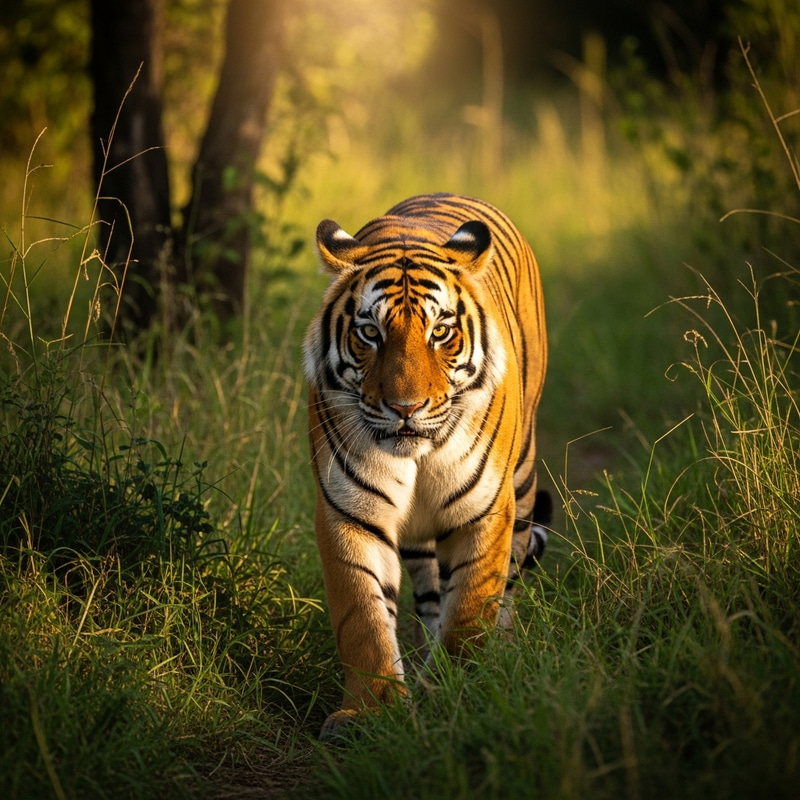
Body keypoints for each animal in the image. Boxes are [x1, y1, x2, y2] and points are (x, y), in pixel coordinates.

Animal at [303, 193, 549, 737]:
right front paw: (370, 712)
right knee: (432, 590)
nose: (405, 408)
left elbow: (472, 610)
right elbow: (363, 617)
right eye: (369, 332)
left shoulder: (486, 512)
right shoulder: (349, 511)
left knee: (508, 580)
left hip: (522, 483)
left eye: (441, 332)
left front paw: (461, 692)